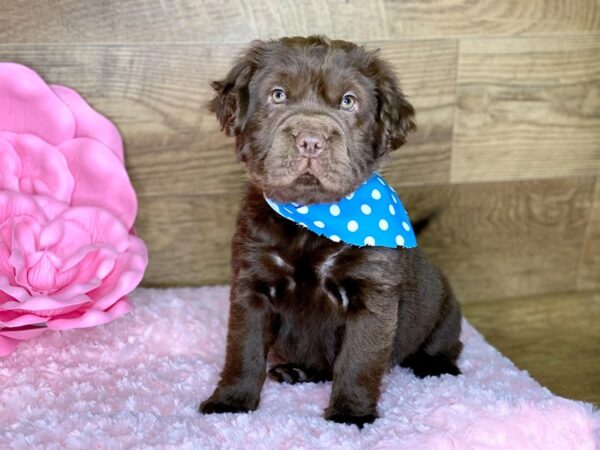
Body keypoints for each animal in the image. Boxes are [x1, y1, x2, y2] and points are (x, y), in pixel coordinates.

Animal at [199, 37, 462, 428]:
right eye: (278, 95)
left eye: (348, 101)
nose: (311, 140)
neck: (315, 219)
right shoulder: (252, 284)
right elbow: (242, 349)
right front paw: (231, 402)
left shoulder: (372, 295)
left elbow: (358, 360)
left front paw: (350, 415)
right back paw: (297, 371)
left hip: (444, 311)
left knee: (445, 344)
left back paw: (437, 366)